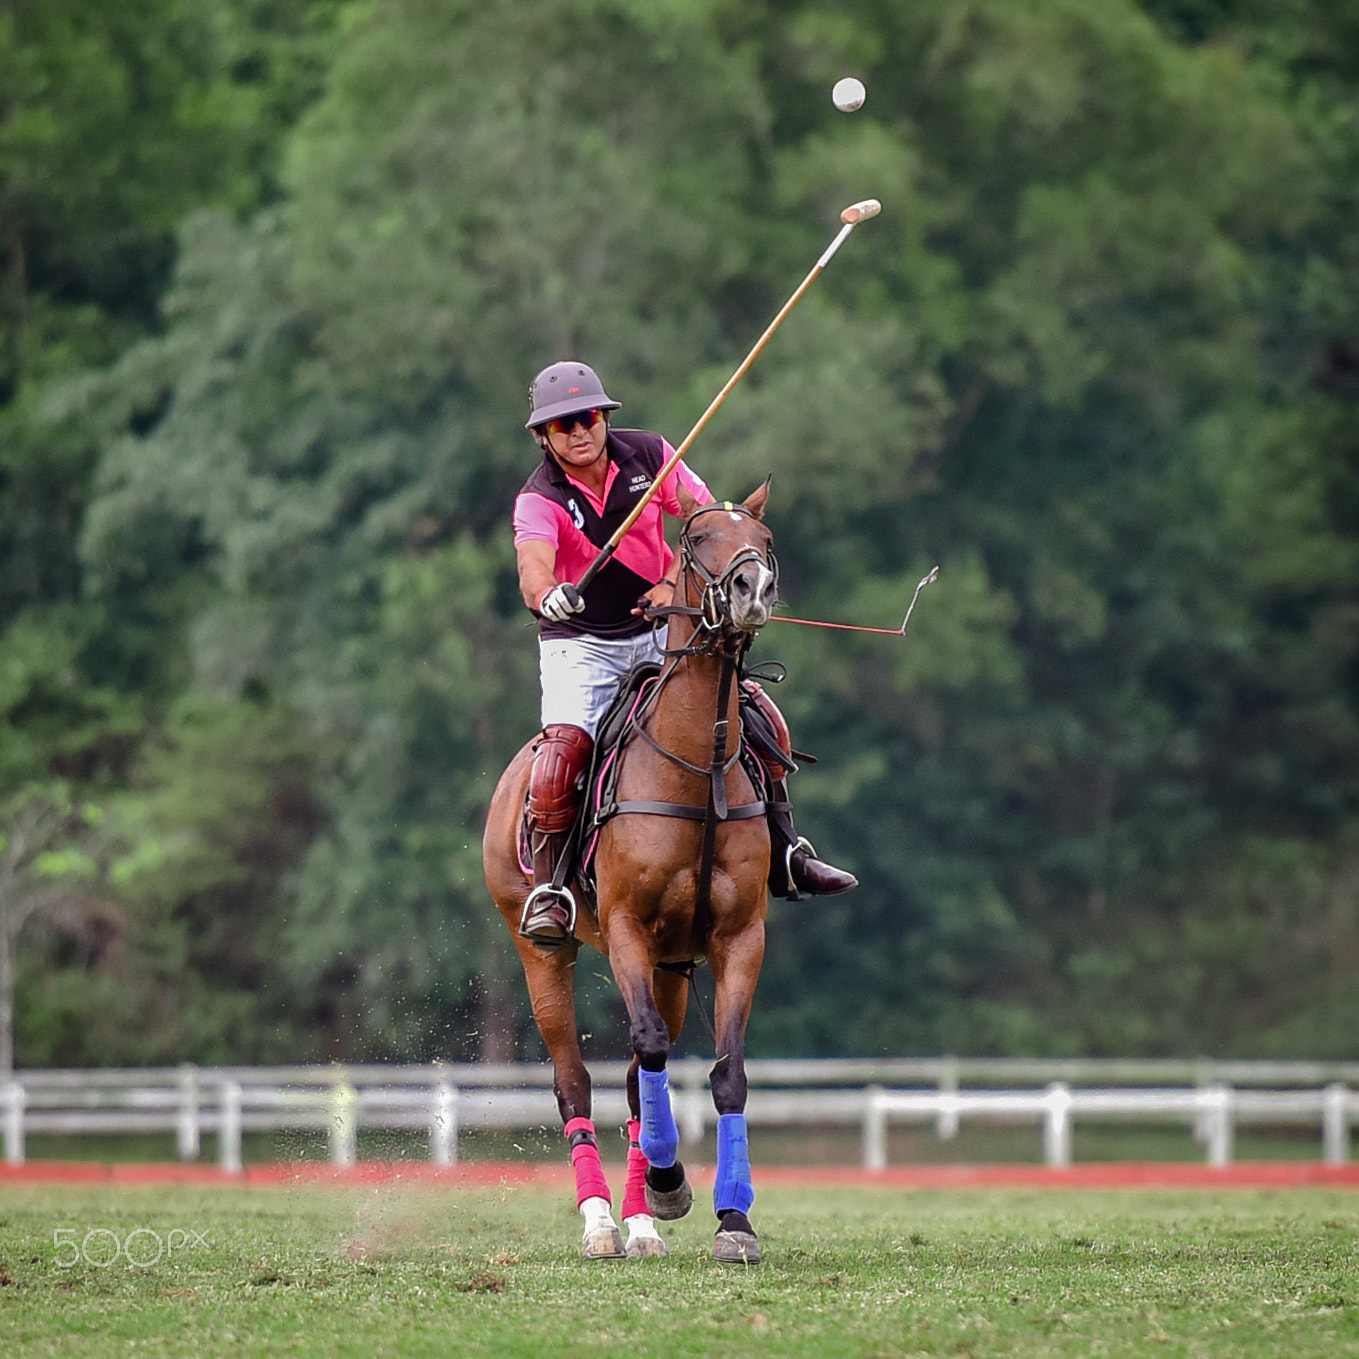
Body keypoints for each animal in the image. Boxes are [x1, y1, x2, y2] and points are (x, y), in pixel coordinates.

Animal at [483, 481, 782, 1261]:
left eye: (764, 539)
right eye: (696, 539)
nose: (753, 589)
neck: (696, 763)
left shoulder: (738, 936)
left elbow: (726, 1074)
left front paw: (732, 1220)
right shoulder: (624, 926)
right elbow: (645, 1047)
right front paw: (674, 1184)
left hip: (673, 965)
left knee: (630, 1081)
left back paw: (643, 1220)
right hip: (538, 947)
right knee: (575, 1081)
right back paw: (600, 1223)